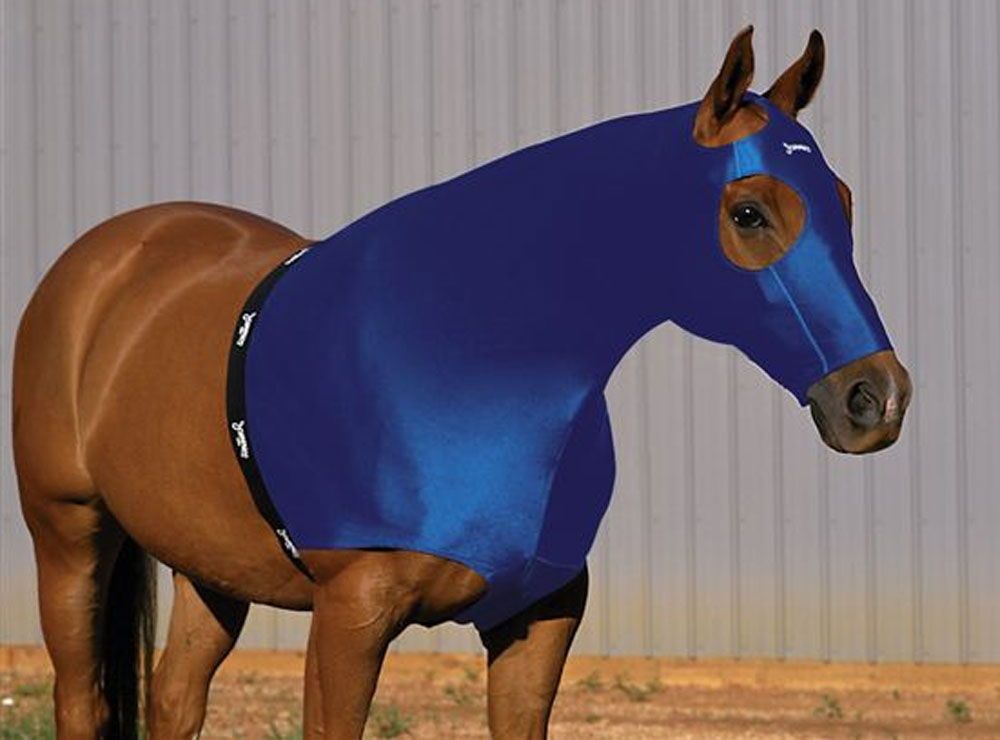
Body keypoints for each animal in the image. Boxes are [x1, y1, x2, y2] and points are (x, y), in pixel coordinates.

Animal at [12, 26, 910, 739]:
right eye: (749, 212)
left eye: (843, 201)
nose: (877, 398)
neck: (467, 366)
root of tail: (104, 258)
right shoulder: (349, 620)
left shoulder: (539, 615)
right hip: (69, 540)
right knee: (82, 700)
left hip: (208, 571)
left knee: (175, 700)